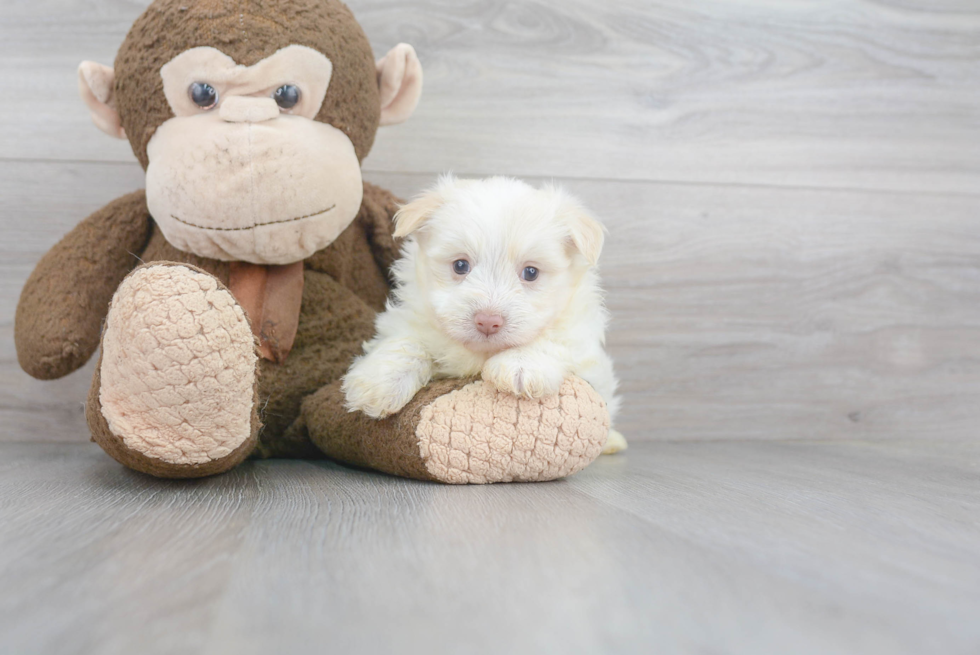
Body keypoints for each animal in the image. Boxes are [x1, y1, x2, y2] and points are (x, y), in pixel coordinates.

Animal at [340, 177, 624, 454]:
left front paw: (520, 365)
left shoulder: (584, 345)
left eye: (531, 272)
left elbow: (553, 339)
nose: (488, 321)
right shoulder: (413, 318)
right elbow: (408, 342)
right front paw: (378, 383)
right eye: (460, 265)